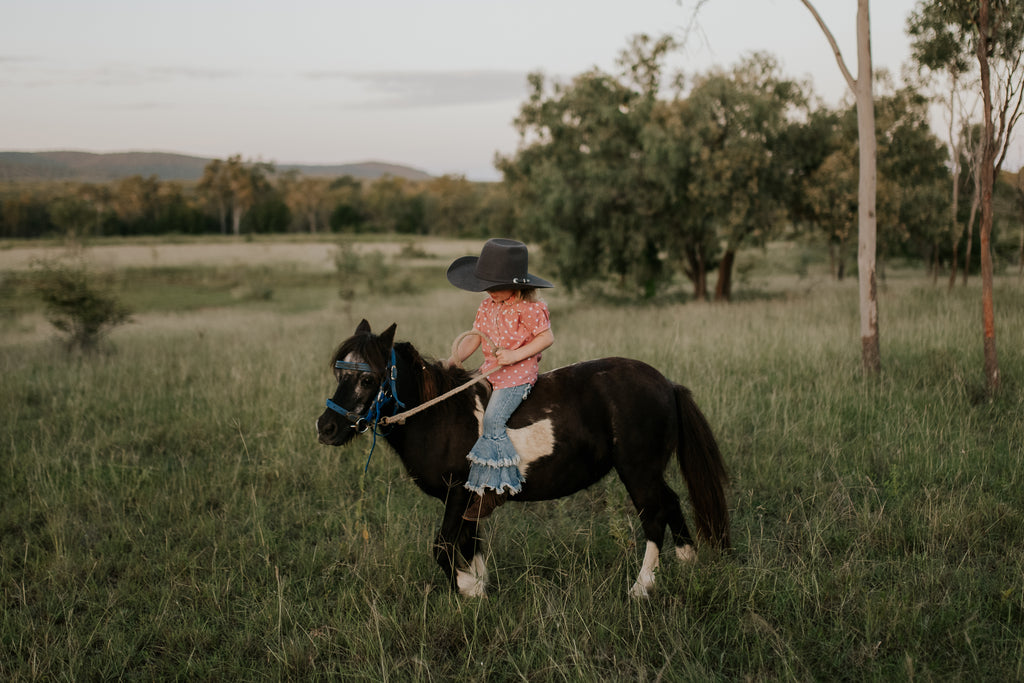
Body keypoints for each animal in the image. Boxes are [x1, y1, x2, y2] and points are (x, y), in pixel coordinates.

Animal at [317, 321, 729, 598]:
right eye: (338, 372)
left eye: (367, 379)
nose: (327, 427)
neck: (440, 416)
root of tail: (667, 385)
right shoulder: (471, 497)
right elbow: (469, 542)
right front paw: (480, 587)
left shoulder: (457, 492)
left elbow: (444, 546)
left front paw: (468, 588)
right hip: (650, 472)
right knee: (672, 502)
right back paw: (687, 563)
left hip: (638, 471)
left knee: (654, 516)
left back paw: (641, 588)